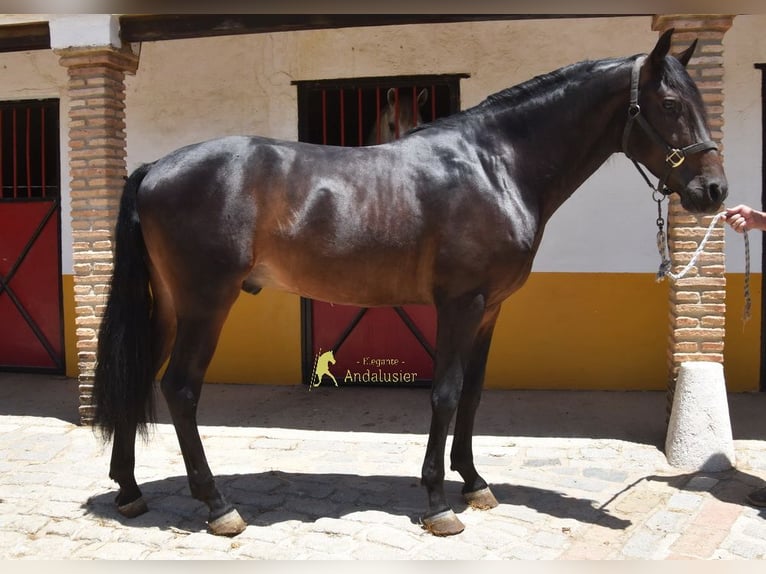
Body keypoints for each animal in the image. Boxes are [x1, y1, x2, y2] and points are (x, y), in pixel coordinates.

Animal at [92, 29, 727, 537]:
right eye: (671, 104)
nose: (715, 192)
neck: (495, 166)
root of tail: (155, 169)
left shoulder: (490, 309)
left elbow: (472, 395)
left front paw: (474, 482)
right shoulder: (460, 304)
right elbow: (444, 393)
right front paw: (439, 503)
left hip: (169, 303)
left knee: (139, 376)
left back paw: (129, 492)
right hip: (206, 303)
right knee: (180, 389)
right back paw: (218, 506)